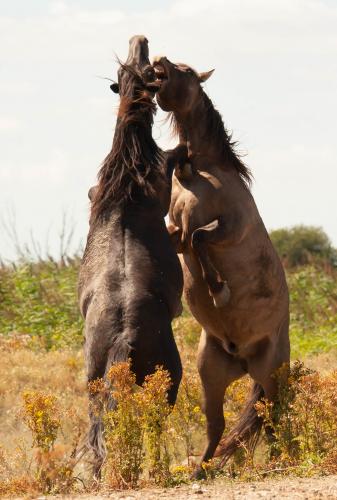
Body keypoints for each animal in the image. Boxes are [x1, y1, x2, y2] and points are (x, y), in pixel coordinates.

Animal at [152, 56, 288, 478]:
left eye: (186, 71)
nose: (158, 61)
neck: (204, 174)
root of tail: (242, 359)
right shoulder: (176, 230)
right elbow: (185, 239)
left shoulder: (230, 227)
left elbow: (201, 238)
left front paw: (219, 289)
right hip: (210, 374)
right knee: (219, 424)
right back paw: (201, 469)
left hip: (271, 373)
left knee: (273, 415)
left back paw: (281, 461)